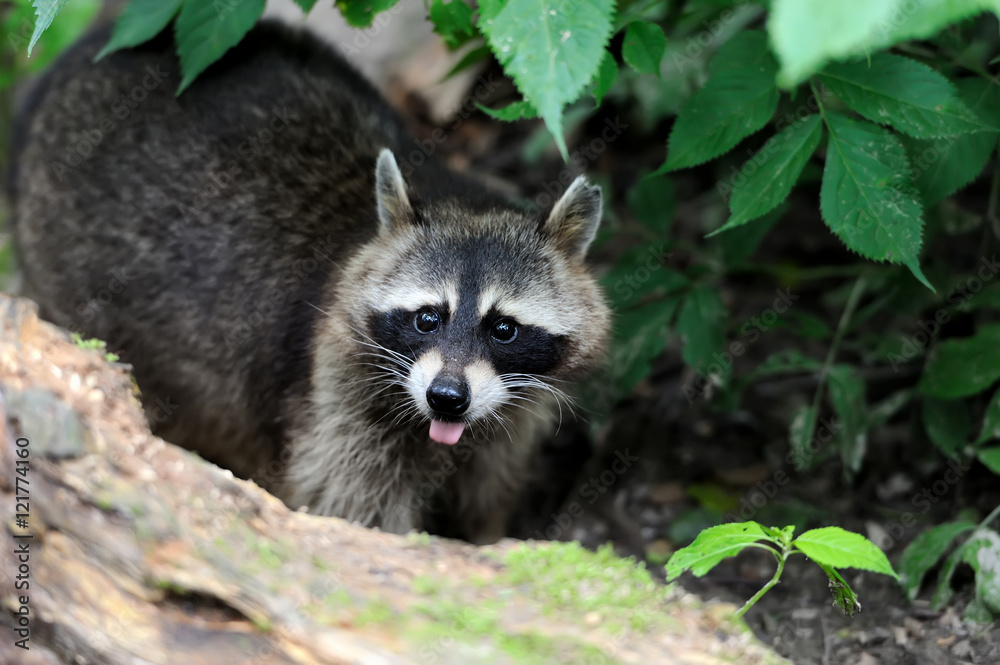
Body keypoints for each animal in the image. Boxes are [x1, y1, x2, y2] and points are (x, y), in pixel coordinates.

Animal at [9, 23, 608, 544]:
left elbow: (487, 493)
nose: (447, 399)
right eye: (427, 318)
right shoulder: (335, 391)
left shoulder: (514, 414)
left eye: (503, 328)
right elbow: (350, 508)